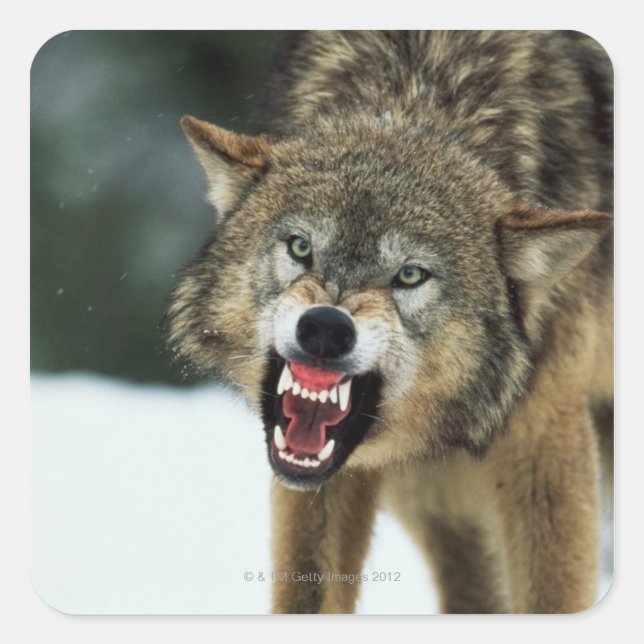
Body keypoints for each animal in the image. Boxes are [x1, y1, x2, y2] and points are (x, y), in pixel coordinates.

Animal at [167, 31, 613, 613]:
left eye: (410, 275)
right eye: (301, 247)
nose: (326, 327)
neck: (418, 90)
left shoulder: (544, 443)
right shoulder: (330, 477)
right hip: (431, 496)